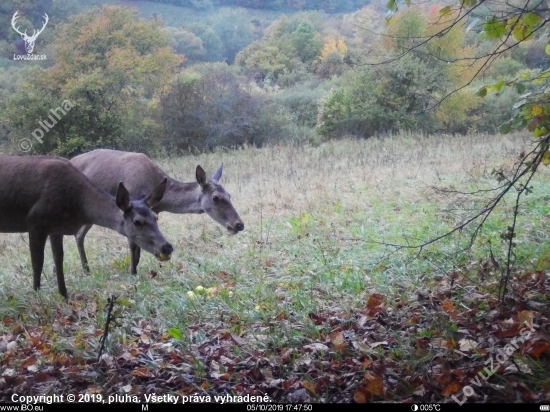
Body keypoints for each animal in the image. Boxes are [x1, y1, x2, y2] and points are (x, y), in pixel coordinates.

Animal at [0, 156, 174, 298]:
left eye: (156, 217)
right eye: (137, 222)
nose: (167, 247)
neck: (77, 206)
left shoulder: (56, 228)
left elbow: (58, 259)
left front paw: (64, 294)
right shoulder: (36, 222)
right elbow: (38, 262)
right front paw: (37, 295)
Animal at [69, 150, 246, 276]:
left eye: (229, 195)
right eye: (215, 197)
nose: (239, 224)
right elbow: (133, 248)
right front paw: (133, 274)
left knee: (79, 235)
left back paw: (86, 269)